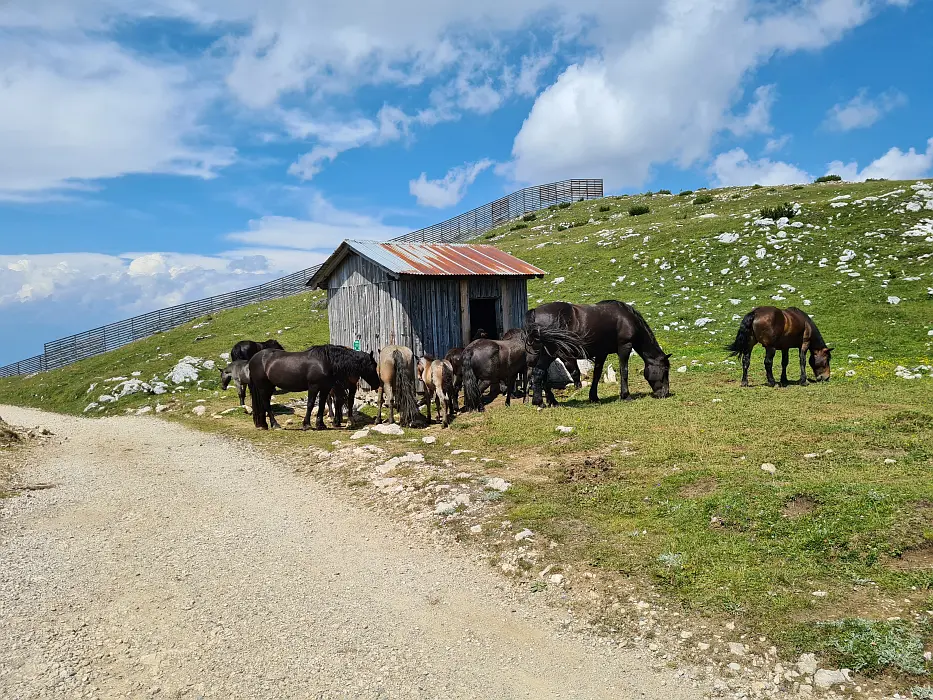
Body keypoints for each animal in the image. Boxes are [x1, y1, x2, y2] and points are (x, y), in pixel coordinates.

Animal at [249, 344, 380, 430]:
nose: (378, 384)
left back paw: (264, 425)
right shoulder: (313, 387)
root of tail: (253, 359)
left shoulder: (325, 388)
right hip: (263, 387)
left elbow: (322, 405)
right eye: (373, 366)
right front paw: (307, 424)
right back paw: (275, 424)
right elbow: (311, 404)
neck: (325, 361)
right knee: (266, 404)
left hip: (269, 387)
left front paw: (320, 424)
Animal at [524, 300, 668, 408]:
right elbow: (624, 371)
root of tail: (535, 312)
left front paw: (594, 397)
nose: (665, 393)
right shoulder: (625, 347)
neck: (627, 318)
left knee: (539, 375)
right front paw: (625, 395)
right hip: (549, 354)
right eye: (666, 369)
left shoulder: (602, 353)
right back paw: (541, 402)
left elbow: (597, 374)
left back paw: (549, 401)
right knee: (539, 373)